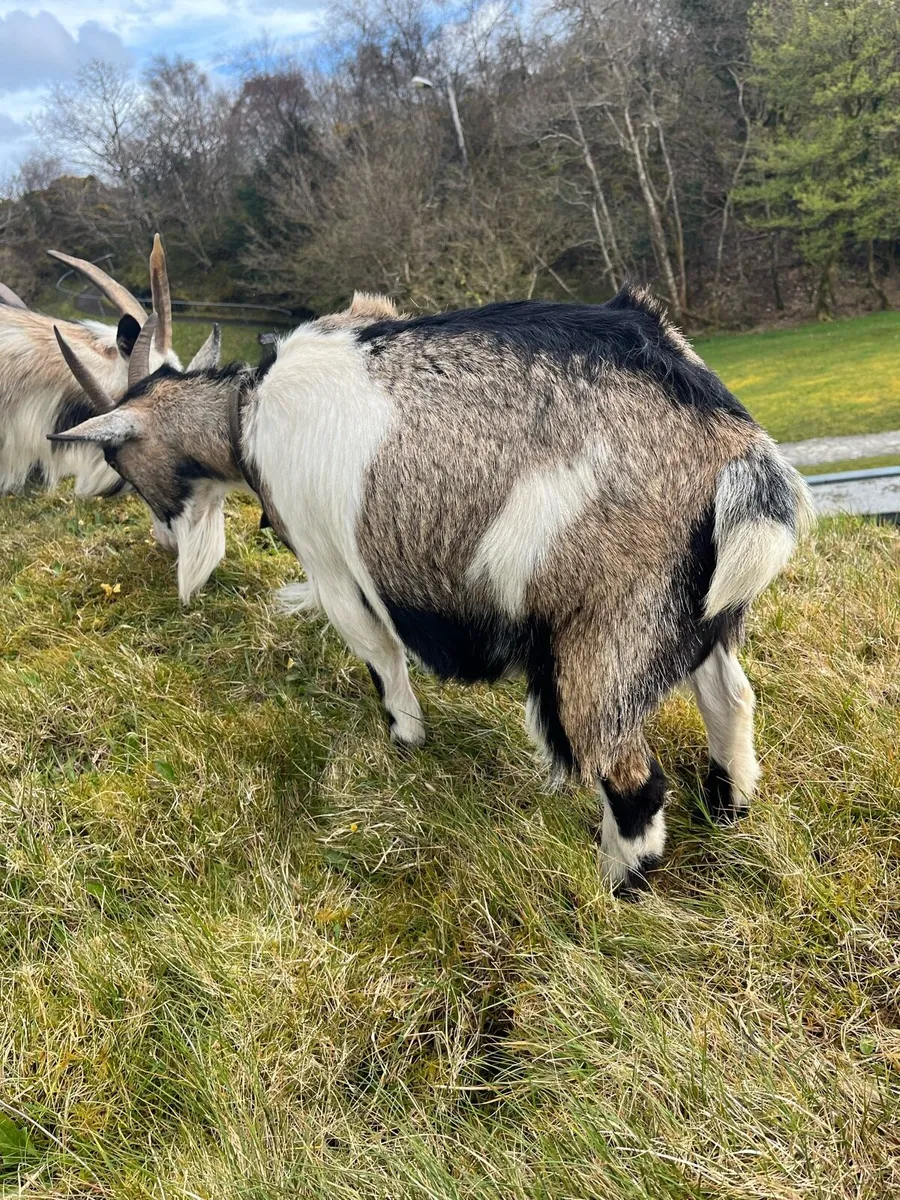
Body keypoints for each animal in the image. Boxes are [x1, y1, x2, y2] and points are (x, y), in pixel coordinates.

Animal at [50, 286, 813, 893]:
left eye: (114, 450)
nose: (159, 536)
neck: (244, 416)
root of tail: (734, 445)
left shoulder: (334, 566)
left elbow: (381, 657)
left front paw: (404, 738)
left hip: (605, 629)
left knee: (631, 778)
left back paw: (616, 885)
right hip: (698, 610)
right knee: (731, 700)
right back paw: (728, 806)